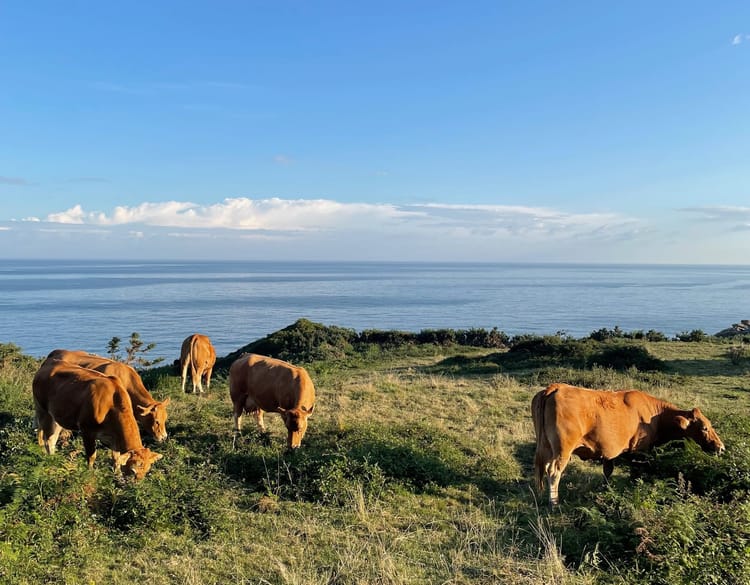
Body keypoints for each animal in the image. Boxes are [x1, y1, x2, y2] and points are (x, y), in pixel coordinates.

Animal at [532, 380, 724, 504]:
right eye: (705, 428)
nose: (721, 447)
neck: (655, 415)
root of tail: (556, 387)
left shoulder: (609, 451)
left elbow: (607, 471)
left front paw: (605, 491)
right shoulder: (640, 450)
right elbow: (636, 473)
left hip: (545, 446)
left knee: (541, 467)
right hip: (563, 450)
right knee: (554, 472)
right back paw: (554, 502)